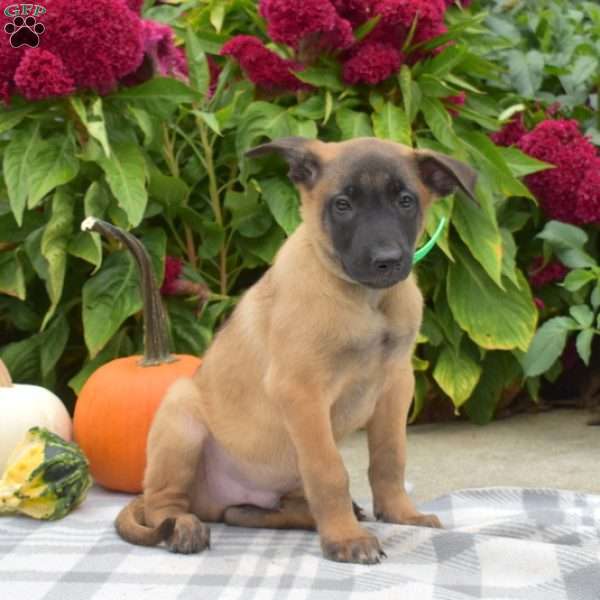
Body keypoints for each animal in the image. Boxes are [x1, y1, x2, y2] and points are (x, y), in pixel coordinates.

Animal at [115, 136, 476, 564]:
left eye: (405, 201)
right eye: (342, 204)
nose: (386, 262)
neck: (365, 300)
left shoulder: (395, 387)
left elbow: (390, 458)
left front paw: (401, 514)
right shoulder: (302, 391)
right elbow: (330, 471)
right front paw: (345, 539)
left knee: (246, 513)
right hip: (180, 416)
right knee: (163, 504)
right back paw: (184, 527)